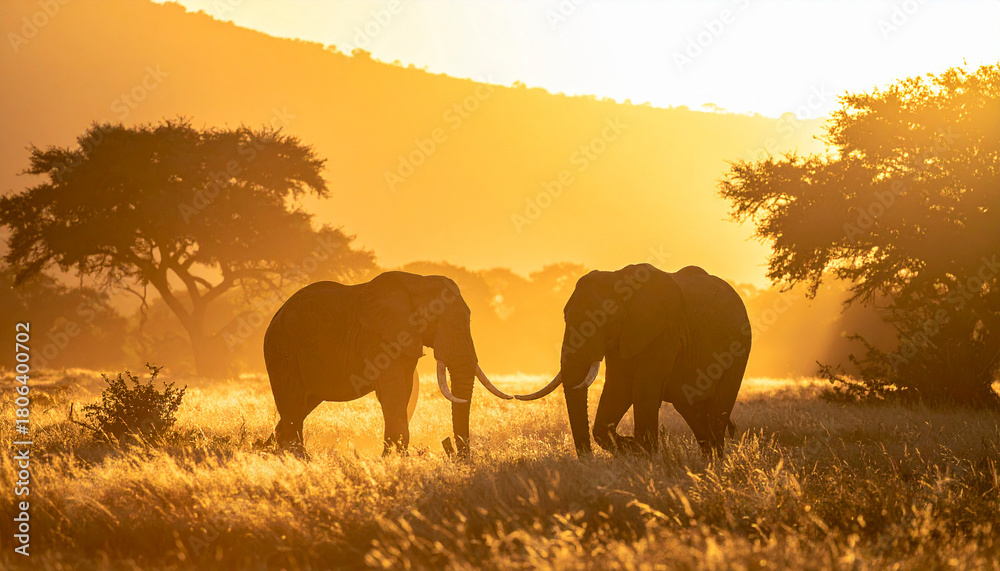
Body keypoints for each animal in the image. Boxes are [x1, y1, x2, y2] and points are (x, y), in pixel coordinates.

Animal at [263, 271, 512, 456]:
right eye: (435, 318)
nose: (452, 452)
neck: (418, 282)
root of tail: (276, 315)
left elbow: (403, 391)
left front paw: (392, 456)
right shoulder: (377, 337)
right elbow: (393, 392)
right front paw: (395, 458)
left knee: (301, 406)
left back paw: (270, 451)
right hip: (282, 349)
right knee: (293, 404)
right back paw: (298, 458)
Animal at [516, 264, 751, 458]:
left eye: (601, 319)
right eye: (565, 317)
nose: (587, 460)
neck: (619, 281)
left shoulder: (664, 333)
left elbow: (644, 390)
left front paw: (644, 454)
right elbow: (617, 389)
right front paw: (632, 447)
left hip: (738, 352)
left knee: (717, 413)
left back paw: (716, 465)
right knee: (692, 410)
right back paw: (707, 464)